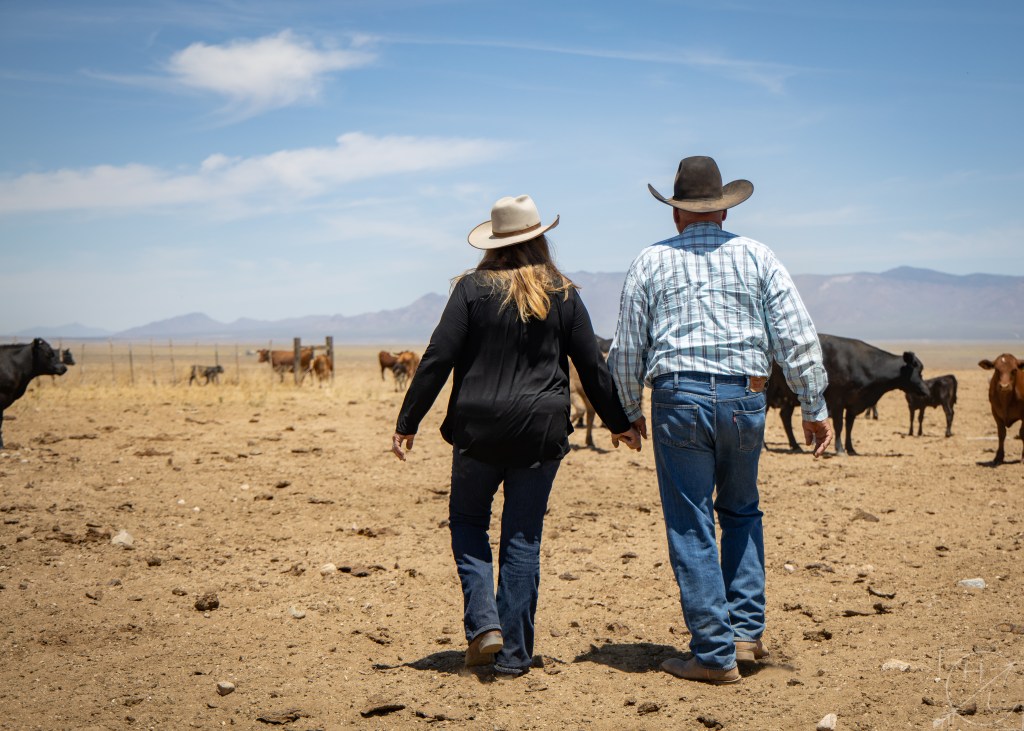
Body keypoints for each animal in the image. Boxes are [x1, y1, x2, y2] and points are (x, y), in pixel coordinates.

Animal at [766, 333, 929, 455]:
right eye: (918, 371)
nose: (926, 391)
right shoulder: (837, 401)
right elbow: (839, 425)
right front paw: (840, 449)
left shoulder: (853, 403)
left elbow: (849, 426)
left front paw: (850, 448)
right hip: (769, 393)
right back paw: (765, 447)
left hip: (788, 397)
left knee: (785, 417)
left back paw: (795, 445)